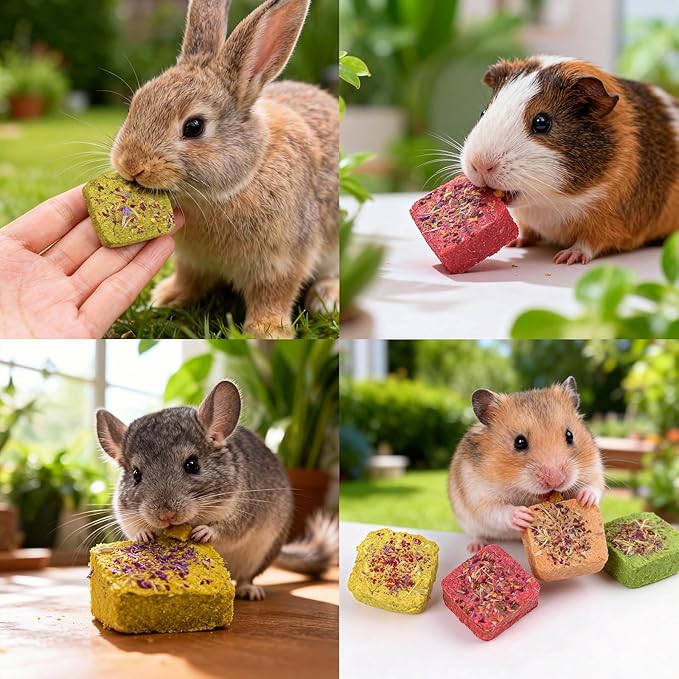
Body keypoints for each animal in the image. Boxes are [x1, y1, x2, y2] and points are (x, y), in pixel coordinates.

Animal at [96, 379, 337, 600]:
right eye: (136, 474)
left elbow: (227, 530)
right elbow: (135, 529)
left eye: (192, 464)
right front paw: (144, 535)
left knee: (245, 578)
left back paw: (250, 591)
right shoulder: (126, 517)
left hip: (262, 553)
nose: (166, 515)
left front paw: (204, 532)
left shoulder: (243, 512)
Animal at [110, 0, 338, 338]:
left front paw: (266, 331)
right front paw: (167, 297)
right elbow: (188, 278)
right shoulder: (192, 260)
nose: (130, 165)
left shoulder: (283, 259)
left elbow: (274, 294)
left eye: (193, 127)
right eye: (137, 103)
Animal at [447, 377, 605, 552]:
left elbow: (594, 486)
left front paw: (586, 499)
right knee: (477, 533)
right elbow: (496, 510)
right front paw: (524, 515)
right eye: (519, 442)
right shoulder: (479, 495)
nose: (555, 481)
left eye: (570, 435)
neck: (523, 490)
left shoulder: (594, 468)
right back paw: (476, 546)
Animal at [461, 55, 679, 264]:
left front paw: (566, 258)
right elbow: (527, 232)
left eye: (542, 122)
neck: (550, 203)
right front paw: (513, 243)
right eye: (483, 112)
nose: (480, 165)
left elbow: (589, 243)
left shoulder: (609, 222)